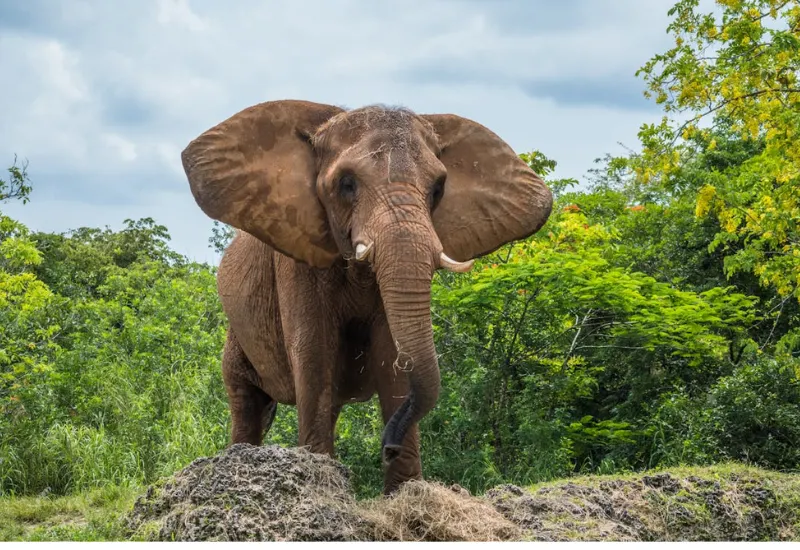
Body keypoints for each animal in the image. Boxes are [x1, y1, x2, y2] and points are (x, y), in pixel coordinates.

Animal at [181, 99, 553, 494]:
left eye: (438, 188)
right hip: (237, 331)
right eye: (347, 184)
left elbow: (393, 355)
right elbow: (314, 353)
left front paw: (403, 493)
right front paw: (322, 487)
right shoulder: (297, 261)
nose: (388, 446)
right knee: (246, 401)